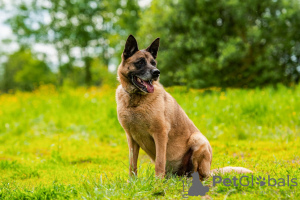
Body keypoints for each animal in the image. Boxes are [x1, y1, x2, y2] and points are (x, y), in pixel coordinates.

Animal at [115, 34, 251, 180]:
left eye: (153, 63)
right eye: (140, 62)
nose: (157, 72)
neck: (136, 100)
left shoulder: (160, 134)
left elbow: (159, 162)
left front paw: (157, 182)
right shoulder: (131, 138)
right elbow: (132, 164)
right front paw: (132, 182)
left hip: (198, 140)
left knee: (199, 174)